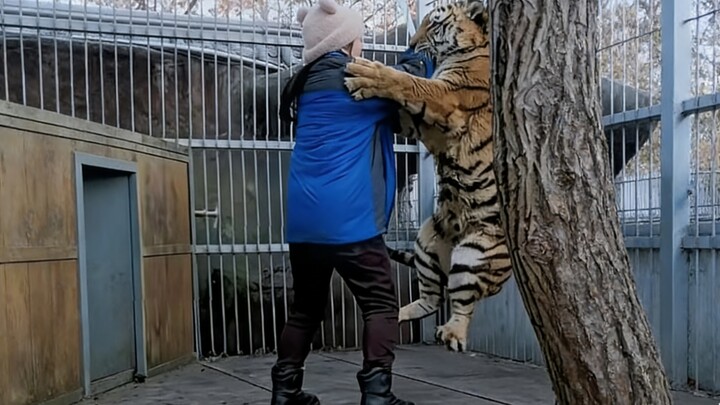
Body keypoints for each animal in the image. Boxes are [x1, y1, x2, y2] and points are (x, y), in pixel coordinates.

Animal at [343, 0, 512, 352]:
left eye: (434, 24)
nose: (409, 44)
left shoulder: (447, 98)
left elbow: (407, 83)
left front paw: (367, 74)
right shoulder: (426, 125)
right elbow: (402, 109)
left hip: (473, 256)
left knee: (462, 304)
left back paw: (452, 334)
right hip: (426, 244)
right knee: (432, 300)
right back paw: (397, 314)